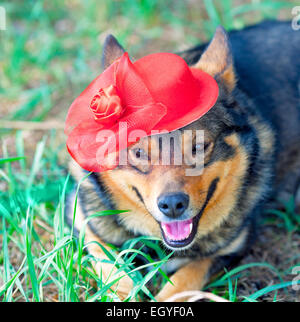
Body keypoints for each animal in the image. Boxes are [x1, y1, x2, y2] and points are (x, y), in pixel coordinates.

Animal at [66, 21, 300, 300]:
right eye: (139, 153)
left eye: (199, 147)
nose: (172, 205)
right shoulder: (83, 220)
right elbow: (111, 266)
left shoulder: (231, 248)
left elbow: (186, 277)